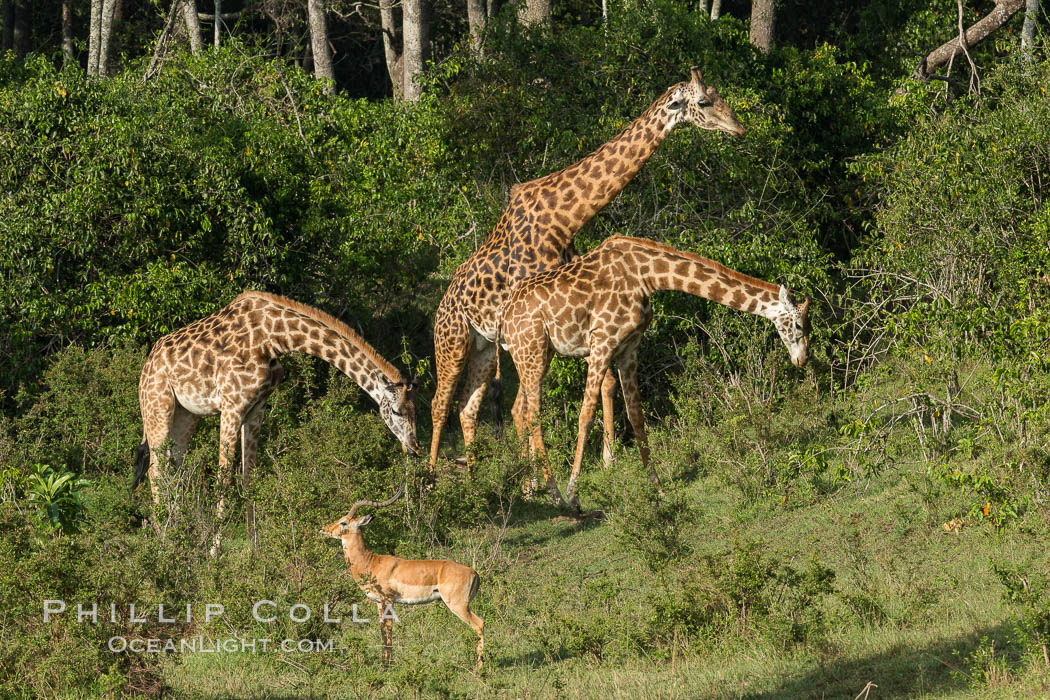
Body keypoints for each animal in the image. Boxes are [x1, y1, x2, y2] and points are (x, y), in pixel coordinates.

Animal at [133, 291, 419, 554]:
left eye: (414, 411)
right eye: (396, 412)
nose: (414, 448)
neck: (275, 337)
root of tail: (147, 364)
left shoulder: (256, 409)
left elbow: (249, 478)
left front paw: (254, 548)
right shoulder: (231, 407)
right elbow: (224, 479)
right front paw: (215, 550)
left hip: (185, 414)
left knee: (173, 468)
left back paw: (178, 531)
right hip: (157, 406)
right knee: (156, 469)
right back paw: (164, 538)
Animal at [428, 68, 747, 482]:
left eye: (720, 95)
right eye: (705, 102)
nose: (739, 128)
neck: (564, 219)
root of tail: (441, 306)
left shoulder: (575, 312)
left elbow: (605, 383)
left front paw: (607, 461)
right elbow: (526, 407)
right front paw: (539, 479)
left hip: (482, 347)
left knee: (467, 406)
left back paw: (476, 477)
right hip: (452, 342)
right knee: (441, 404)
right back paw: (429, 477)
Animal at [499, 237, 810, 510]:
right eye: (798, 325)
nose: (802, 360)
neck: (646, 275)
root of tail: (504, 315)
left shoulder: (628, 347)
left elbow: (637, 416)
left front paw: (657, 486)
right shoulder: (601, 342)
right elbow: (586, 415)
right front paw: (574, 495)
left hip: (535, 354)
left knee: (520, 409)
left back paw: (530, 490)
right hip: (532, 349)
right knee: (533, 416)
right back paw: (555, 495)